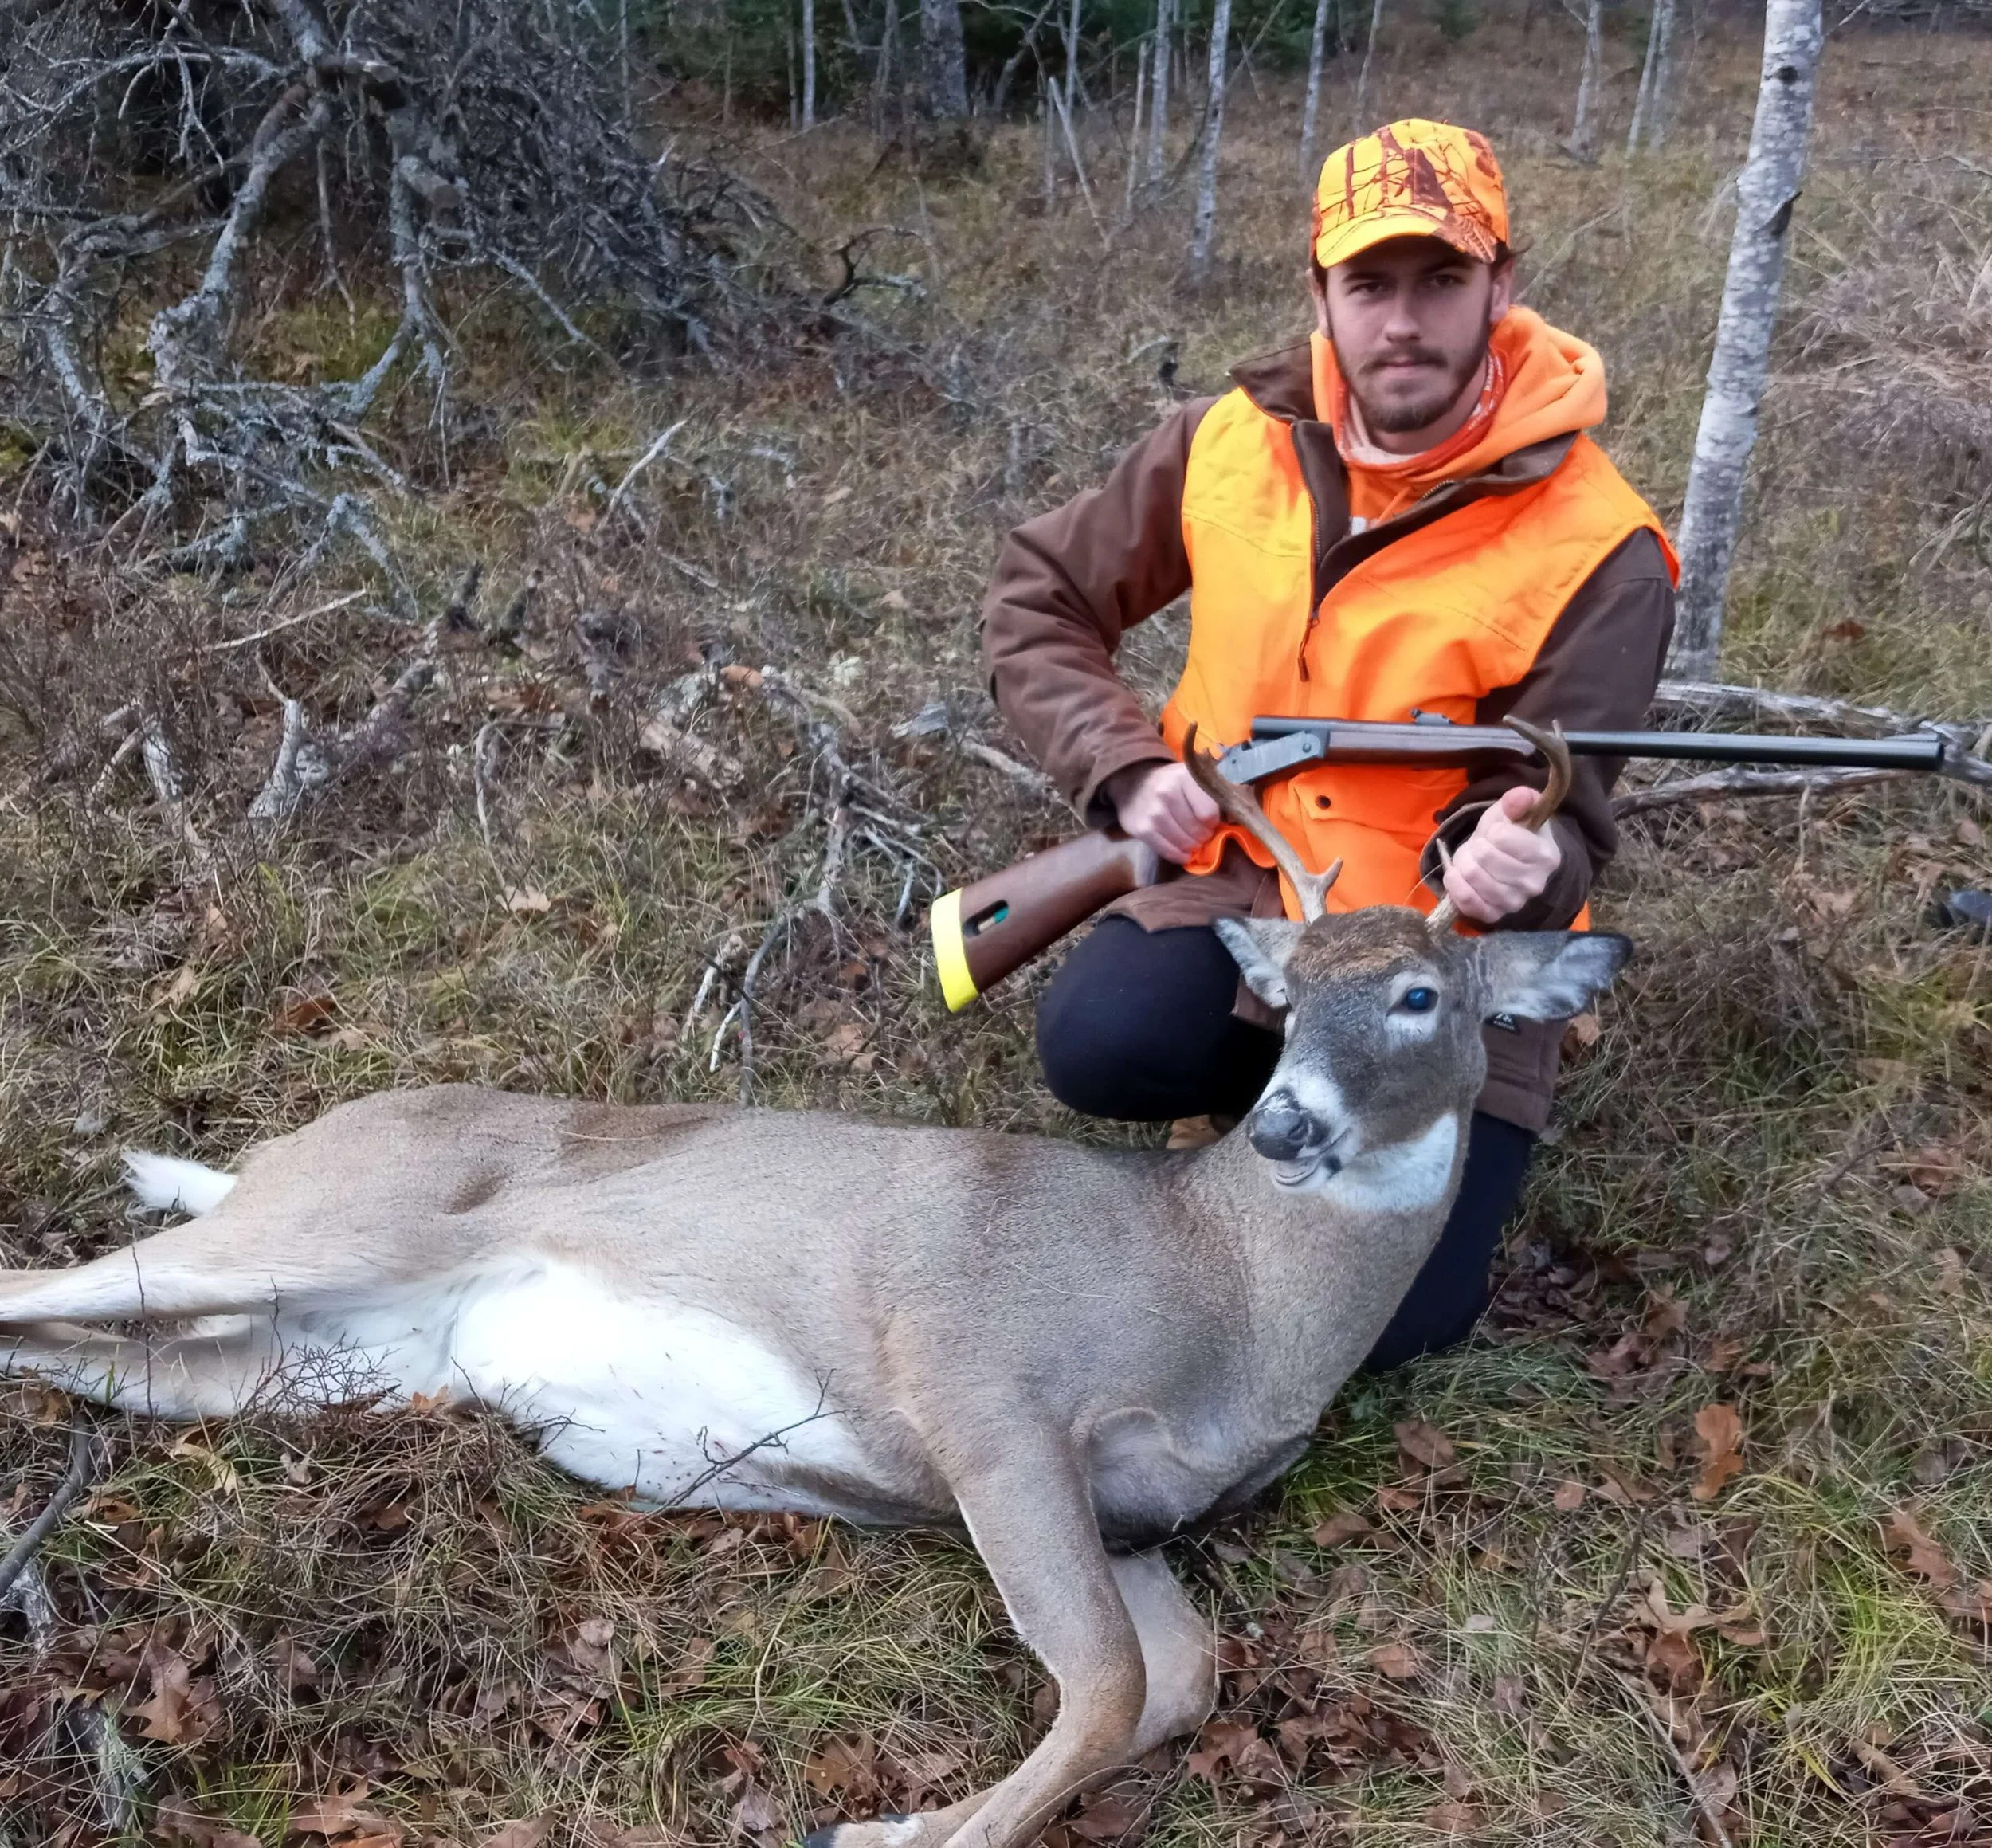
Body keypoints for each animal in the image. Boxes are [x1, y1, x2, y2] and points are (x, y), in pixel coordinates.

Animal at [0, 722, 1626, 1848]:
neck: (1228, 1300)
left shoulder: (1135, 1517)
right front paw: (901, 1830)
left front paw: (896, 1819)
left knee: (111, 1348)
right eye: (1280, 1003)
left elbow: (1180, 1680)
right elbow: (1104, 1680)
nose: (1285, 1124)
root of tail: (283, 1144)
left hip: (329, 1364)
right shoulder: (985, 1384)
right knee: (39, 1278)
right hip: (340, 1217)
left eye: (1419, 995)